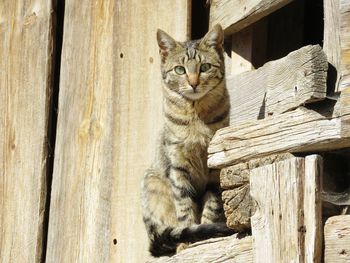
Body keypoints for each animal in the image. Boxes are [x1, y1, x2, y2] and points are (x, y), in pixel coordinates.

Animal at [139, 24, 232, 258]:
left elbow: (211, 205)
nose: (193, 83)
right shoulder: (177, 166)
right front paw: (187, 243)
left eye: (205, 67)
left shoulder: (214, 168)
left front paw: (206, 236)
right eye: (180, 70)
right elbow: (184, 208)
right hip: (151, 182)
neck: (196, 117)